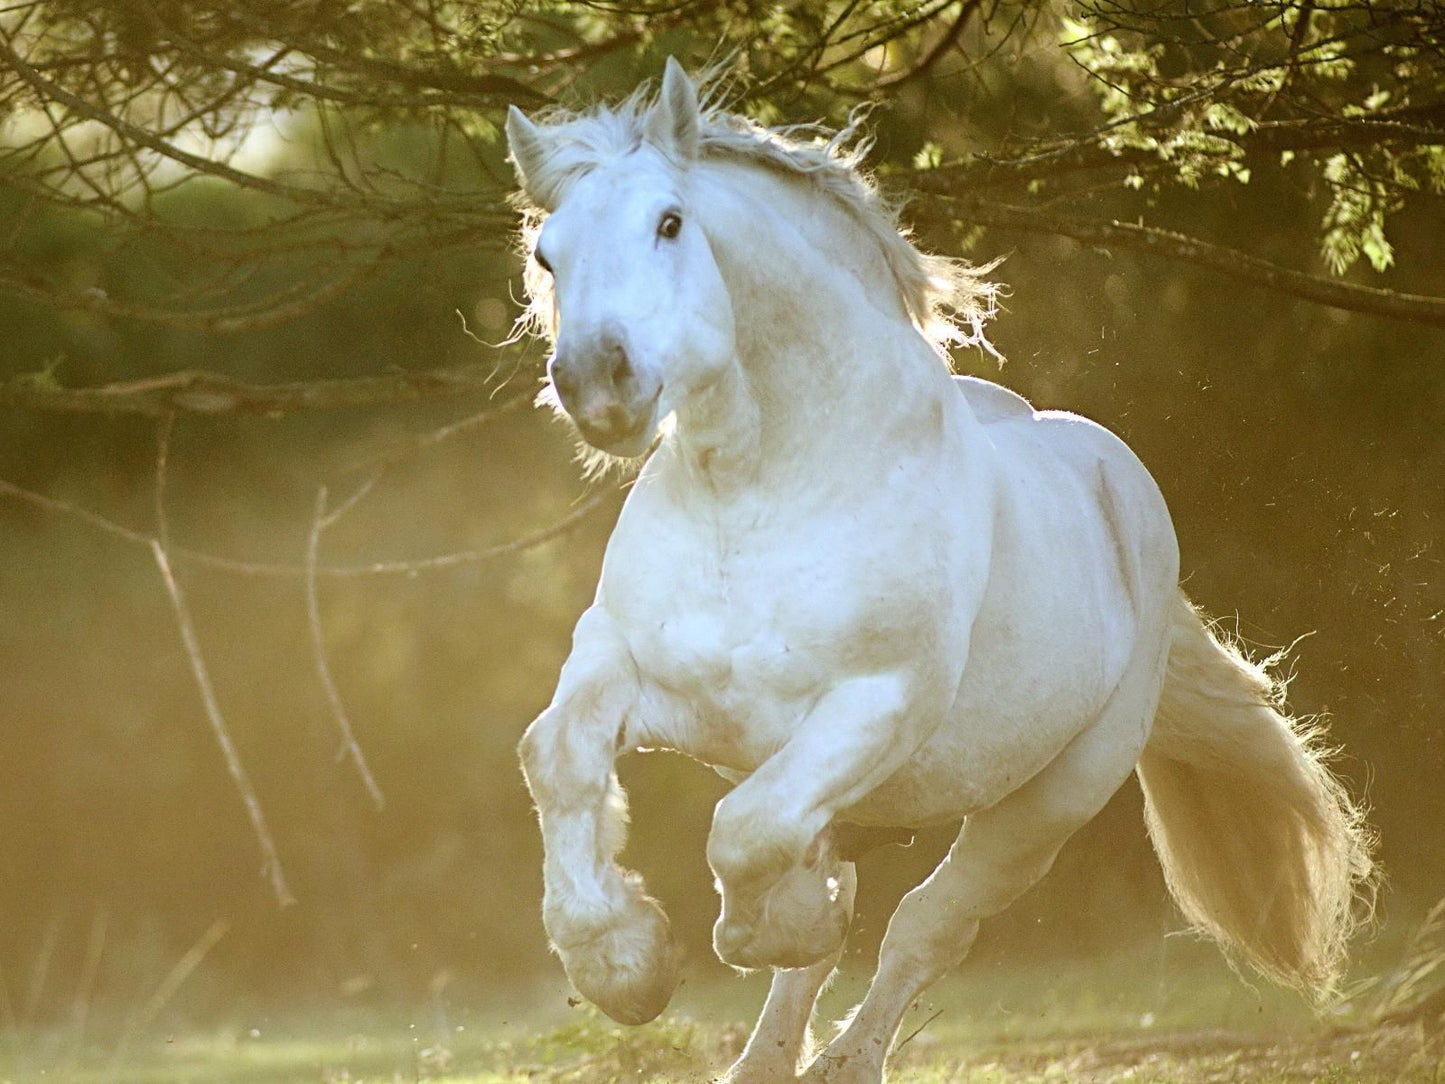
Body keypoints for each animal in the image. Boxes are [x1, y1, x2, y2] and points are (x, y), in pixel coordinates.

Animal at [502, 63, 1369, 1084]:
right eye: (548, 253)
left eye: (669, 223)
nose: (597, 383)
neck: (760, 493)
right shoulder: (629, 669)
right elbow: (558, 757)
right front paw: (625, 965)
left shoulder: (880, 702)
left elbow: (750, 838)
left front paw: (771, 925)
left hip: (1046, 804)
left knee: (926, 928)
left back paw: (841, 1053)